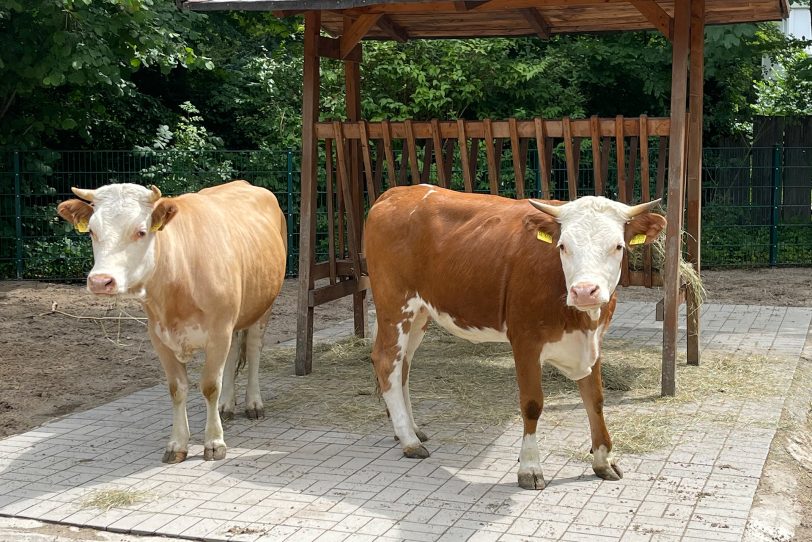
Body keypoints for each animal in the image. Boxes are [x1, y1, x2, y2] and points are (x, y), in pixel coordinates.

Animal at [58, 182, 286, 464]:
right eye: (91, 230)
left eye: (141, 231)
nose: (101, 281)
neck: (180, 275)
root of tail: (245, 184)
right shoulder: (159, 337)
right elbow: (177, 389)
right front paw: (177, 444)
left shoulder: (218, 331)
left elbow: (210, 385)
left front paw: (214, 442)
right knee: (234, 353)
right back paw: (227, 404)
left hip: (262, 307)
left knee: (253, 349)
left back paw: (254, 403)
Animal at [368, 185, 668, 490]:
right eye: (563, 246)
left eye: (618, 246)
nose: (584, 291)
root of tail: (398, 192)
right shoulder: (525, 340)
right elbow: (532, 404)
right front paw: (530, 468)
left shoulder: (594, 340)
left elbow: (595, 399)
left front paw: (603, 460)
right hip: (394, 304)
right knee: (386, 361)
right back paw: (409, 440)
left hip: (419, 314)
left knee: (403, 365)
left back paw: (410, 429)